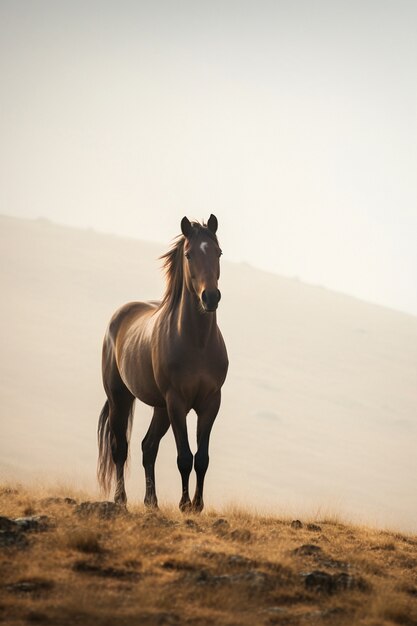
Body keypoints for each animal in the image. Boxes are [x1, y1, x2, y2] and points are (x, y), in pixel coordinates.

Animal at [96, 212, 229, 510]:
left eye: (218, 252)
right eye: (189, 254)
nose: (210, 297)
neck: (197, 343)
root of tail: (119, 316)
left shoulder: (210, 402)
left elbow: (202, 458)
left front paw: (197, 506)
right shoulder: (176, 402)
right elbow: (184, 457)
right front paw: (184, 505)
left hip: (160, 408)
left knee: (148, 447)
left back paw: (151, 502)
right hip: (121, 398)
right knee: (120, 447)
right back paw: (121, 499)